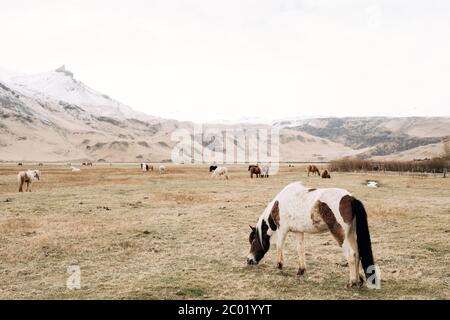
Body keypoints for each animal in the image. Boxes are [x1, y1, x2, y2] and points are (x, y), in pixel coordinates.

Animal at [246, 181, 380, 288]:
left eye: (253, 241)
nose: (249, 260)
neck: (279, 204)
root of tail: (350, 198)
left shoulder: (282, 229)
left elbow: (279, 246)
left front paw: (279, 266)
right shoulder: (298, 232)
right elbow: (300, 250)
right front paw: (301, 270)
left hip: (340, 235)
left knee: (351, 255)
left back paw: (351, 282)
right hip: (351, 234)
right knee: (357, 254)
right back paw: (359, 280)